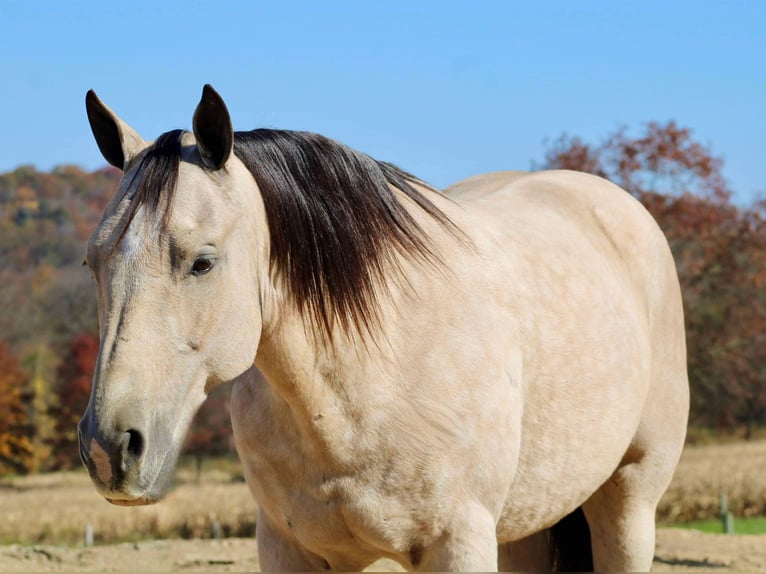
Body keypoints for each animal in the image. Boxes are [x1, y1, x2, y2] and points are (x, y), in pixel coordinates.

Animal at [76, 84, 688, 572]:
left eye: (202, 262)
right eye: (92, 262)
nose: (110, 448)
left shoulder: (459, 544)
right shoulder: (292, 549)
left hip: (628, 502)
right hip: (527, 524)